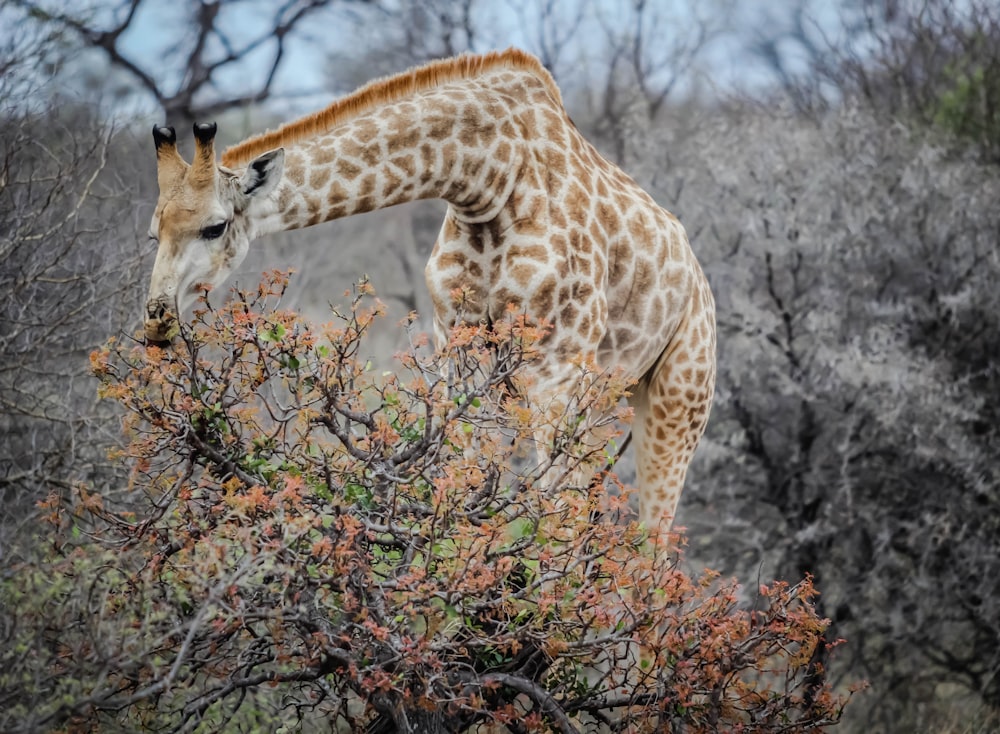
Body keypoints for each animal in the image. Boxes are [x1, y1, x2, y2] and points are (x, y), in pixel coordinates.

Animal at [145, 47, 716, 536]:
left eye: (215, 227)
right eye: (154, 232)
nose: (156, 320)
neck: (488, 179)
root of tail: (698, 274)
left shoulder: (556, 364)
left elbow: (552, 515)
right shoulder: (455, 345)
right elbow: (459, 479)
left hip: (678, 397)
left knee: (651, 538)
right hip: (608, 394)